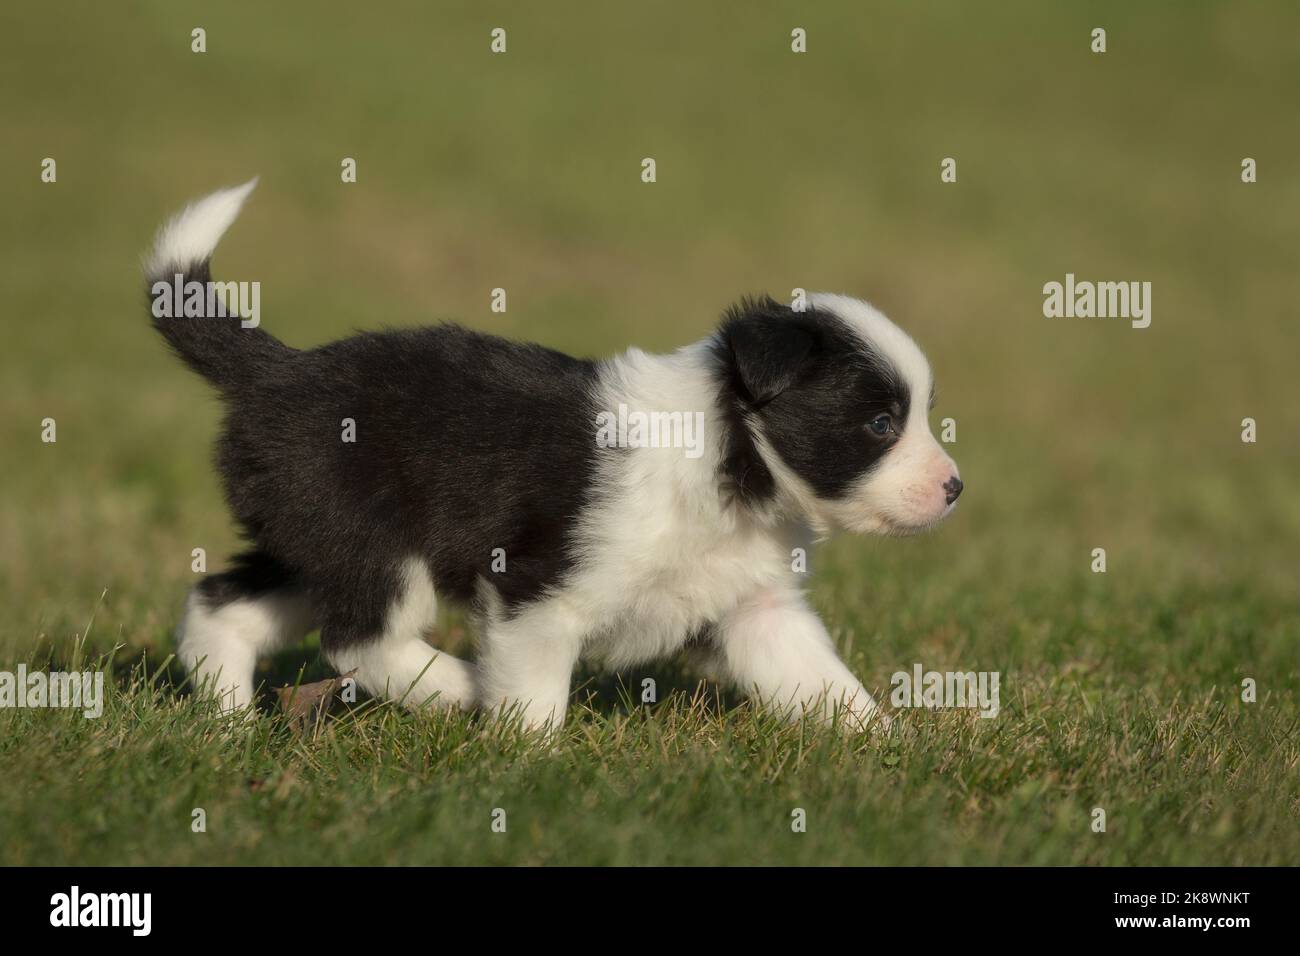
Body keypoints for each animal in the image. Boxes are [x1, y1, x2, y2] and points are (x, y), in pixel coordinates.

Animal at [147, 180, 961, 733]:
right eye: (882, 423)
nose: (955, 487)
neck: (732, 459)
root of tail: (280, 371)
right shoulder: (539, 592)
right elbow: (534, 698)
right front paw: (527, 760)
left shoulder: (756, 606)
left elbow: (823, 681)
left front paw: (885, 749)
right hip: (373, 541)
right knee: (357, 640)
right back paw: (457, 689)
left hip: (310, 536)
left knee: (221, 603)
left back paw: (229, 724)